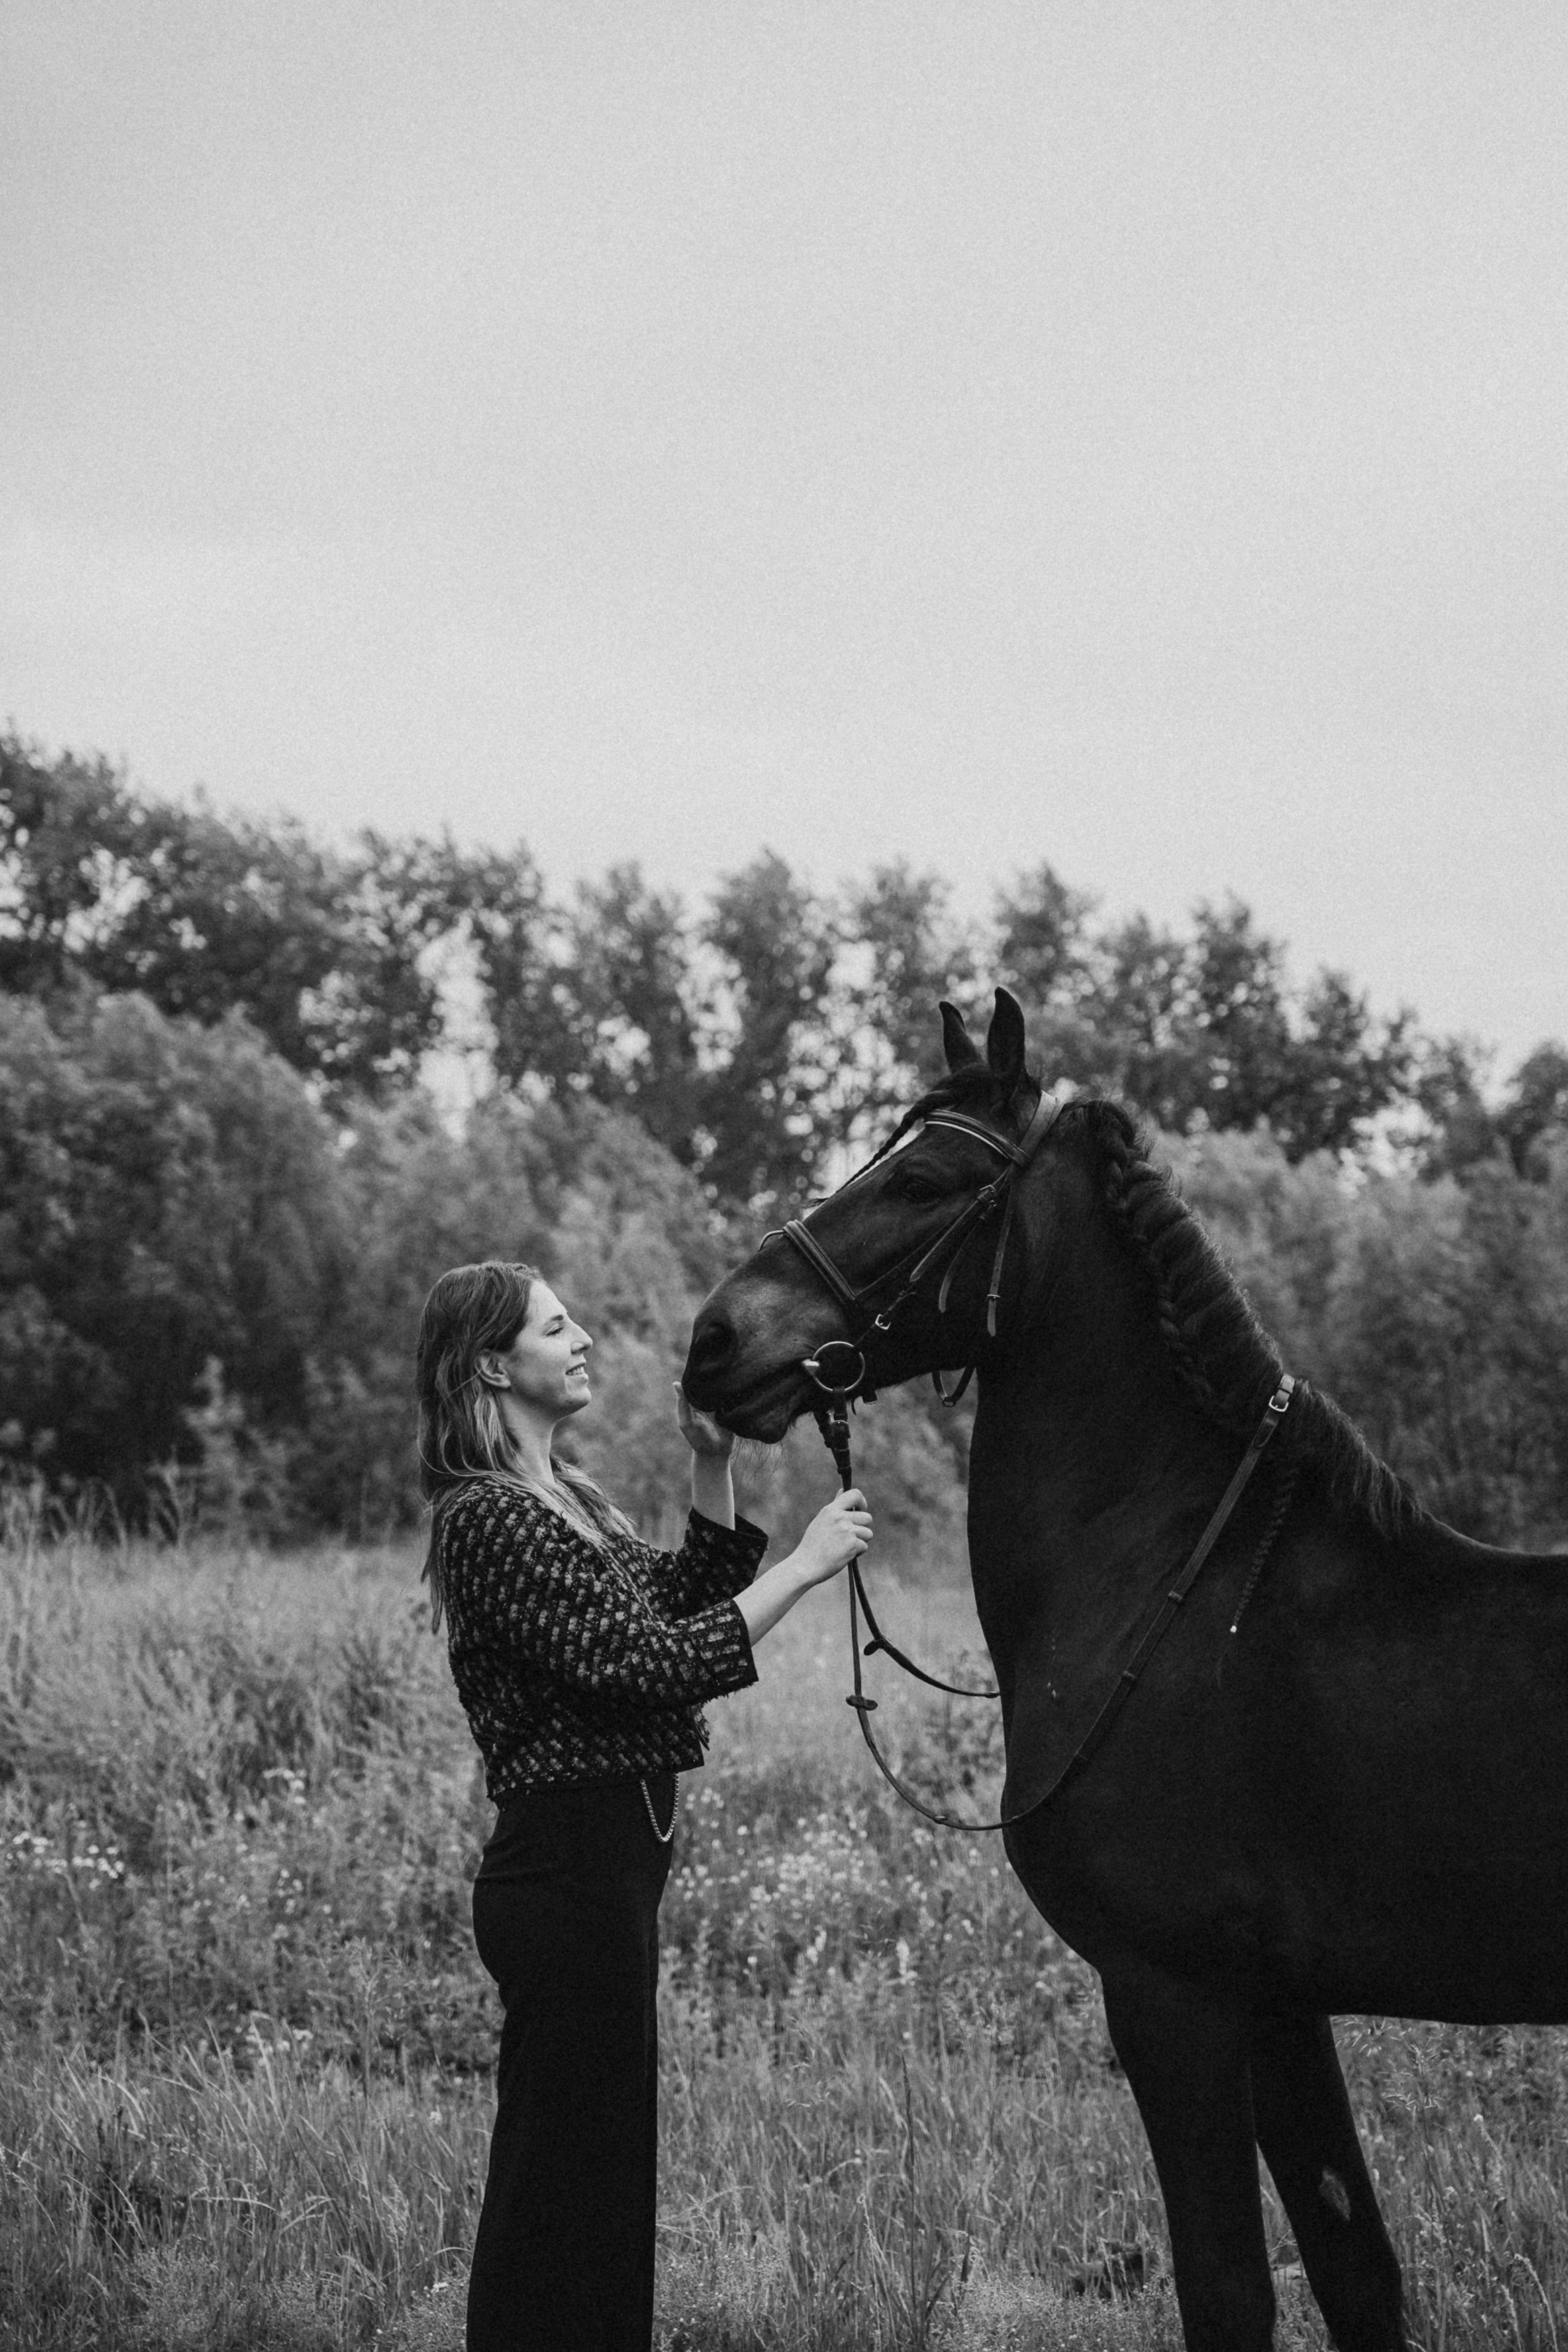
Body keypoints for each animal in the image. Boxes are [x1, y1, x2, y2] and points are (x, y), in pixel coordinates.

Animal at [679, 985, 1568, 2352]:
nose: (716, 1339)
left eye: (922, 1176)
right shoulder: (1281, 2006)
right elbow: (1355, 2268)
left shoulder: (1175, 1996)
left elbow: (1229, 2287)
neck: (1174, 1591)